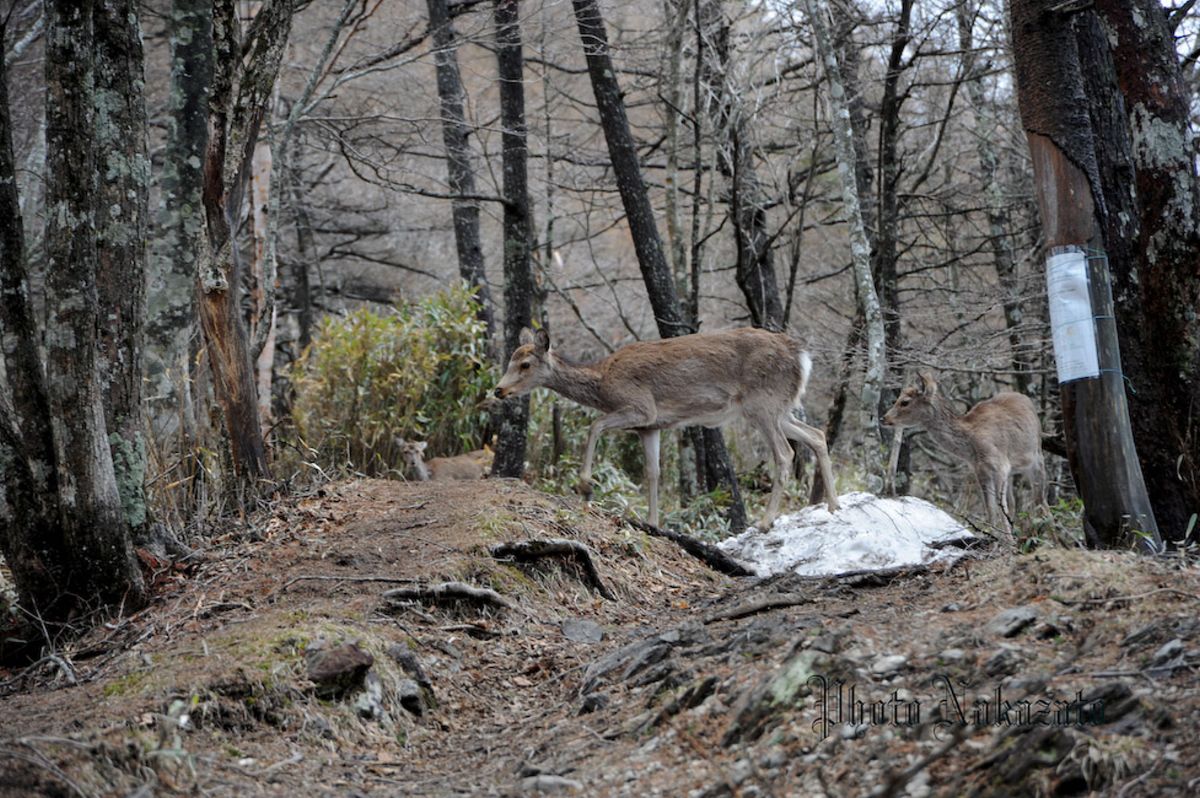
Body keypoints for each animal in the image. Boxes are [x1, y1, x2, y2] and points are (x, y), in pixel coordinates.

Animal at [492, 324, 840, 528]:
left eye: (525, 364)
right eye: (509, 360)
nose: (498, 389)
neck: (603, 384)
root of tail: (802, 356)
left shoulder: (641, 408)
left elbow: (594, 426)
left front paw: (586, 485)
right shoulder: (651, 426)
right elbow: (653, 472)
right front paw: (653, 521)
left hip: (762, 404)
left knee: (785, 453)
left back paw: (766, 522)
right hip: (778, 407)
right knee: (817, 435)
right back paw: (834, 506)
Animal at [878, 372, 1046, 535]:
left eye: (905, 402)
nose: (883, 418)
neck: (971, 447)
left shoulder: (1000, 465)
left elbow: (1001, 510)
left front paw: (1008, 542)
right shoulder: (980, 470)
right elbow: (991, 511)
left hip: (1036, 457)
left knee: (1040, 499)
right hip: (1013, 473)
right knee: (1016, 502)